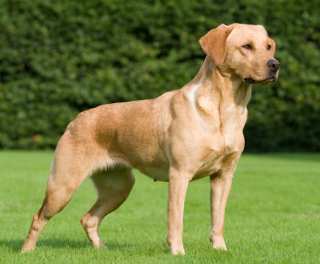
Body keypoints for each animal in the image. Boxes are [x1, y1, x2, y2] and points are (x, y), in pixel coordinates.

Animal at [21, 23, 278, 255]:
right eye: (246, 46)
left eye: (268, 46)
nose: (275, 64)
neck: (225, 109)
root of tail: (76, 118)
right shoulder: (180, 174)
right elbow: (176, 219)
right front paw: (177, 252)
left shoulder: (223, 176)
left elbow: (218, 218)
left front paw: (220, 249)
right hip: (63, 186)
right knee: (37, 217)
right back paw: (27, 251)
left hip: (119, 187)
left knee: (88, 219)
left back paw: (102, 250)